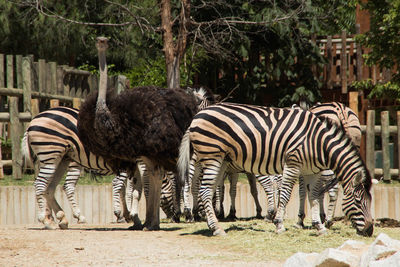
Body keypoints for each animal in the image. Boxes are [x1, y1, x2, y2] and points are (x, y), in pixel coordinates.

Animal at [177, 102, 372, 237]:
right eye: (358, 201)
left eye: (370, 202)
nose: (370, 231)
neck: (317, 141)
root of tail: (198, 115)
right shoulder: (293, 164)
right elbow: (286, 194)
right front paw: (279, 224)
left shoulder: (312, 171)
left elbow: (314, 197)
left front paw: (319, 226)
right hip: (211, 156)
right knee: (203, 190)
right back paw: (215, 227)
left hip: (222, 160)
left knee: (208, 190)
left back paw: (212, 223)